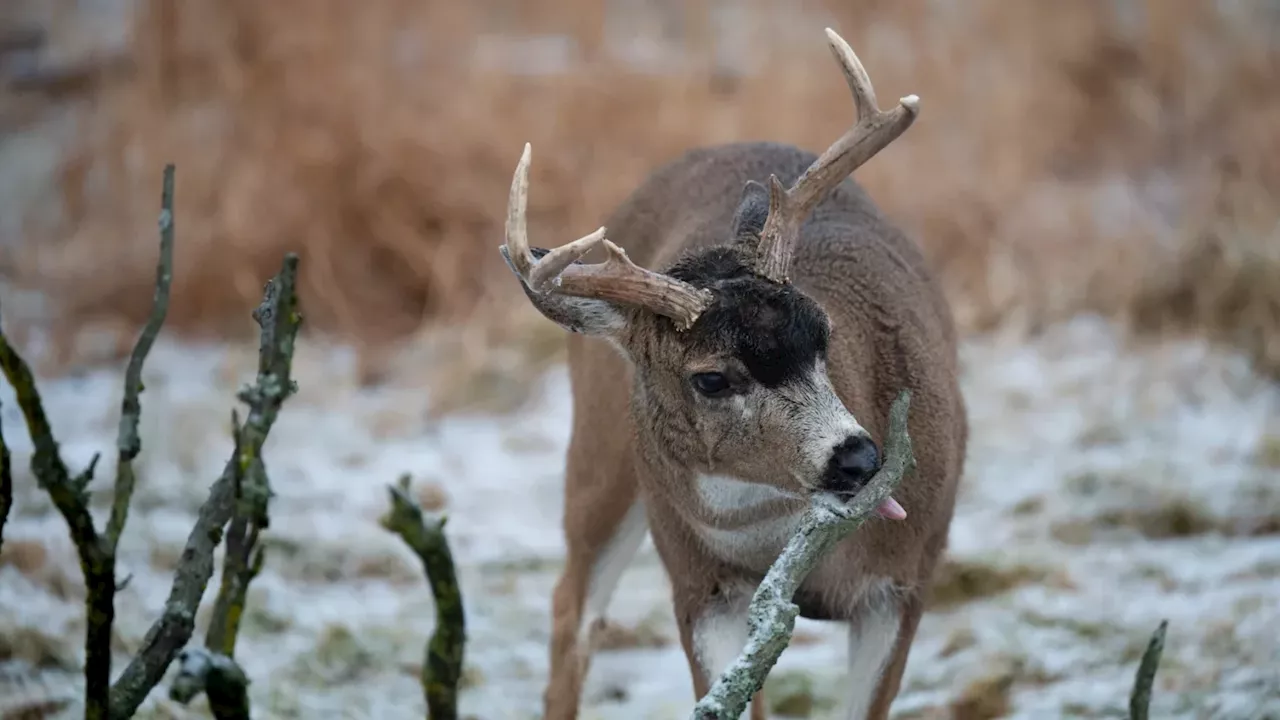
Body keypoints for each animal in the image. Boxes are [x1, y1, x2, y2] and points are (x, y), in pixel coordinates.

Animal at [494, 26, 962, 717]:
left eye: (822, 332)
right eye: (710, 378)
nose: (857, 458)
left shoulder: (907, 579)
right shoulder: (702, 586)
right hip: (600, 451)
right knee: (571, 607)